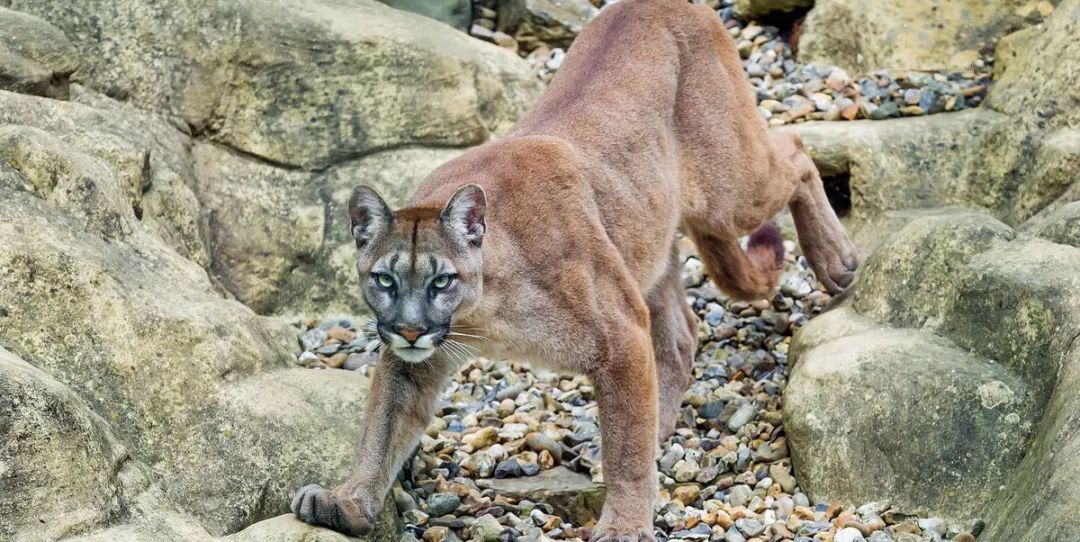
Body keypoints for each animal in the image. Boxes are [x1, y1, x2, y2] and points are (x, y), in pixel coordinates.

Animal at [291, 0, 855, 537]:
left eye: (442, 280)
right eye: (384, 280)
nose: (409, 328)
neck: (487, 310)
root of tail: (667, 3)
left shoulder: (620, 333)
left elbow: (626, 446)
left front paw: (624, 524)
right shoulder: (413, 362)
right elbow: (381, 429)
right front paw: (347, 501)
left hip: (727, 190)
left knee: (796, 154)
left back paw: (837, 260)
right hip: (645, 240)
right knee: (678, 337)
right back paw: (657, 427)